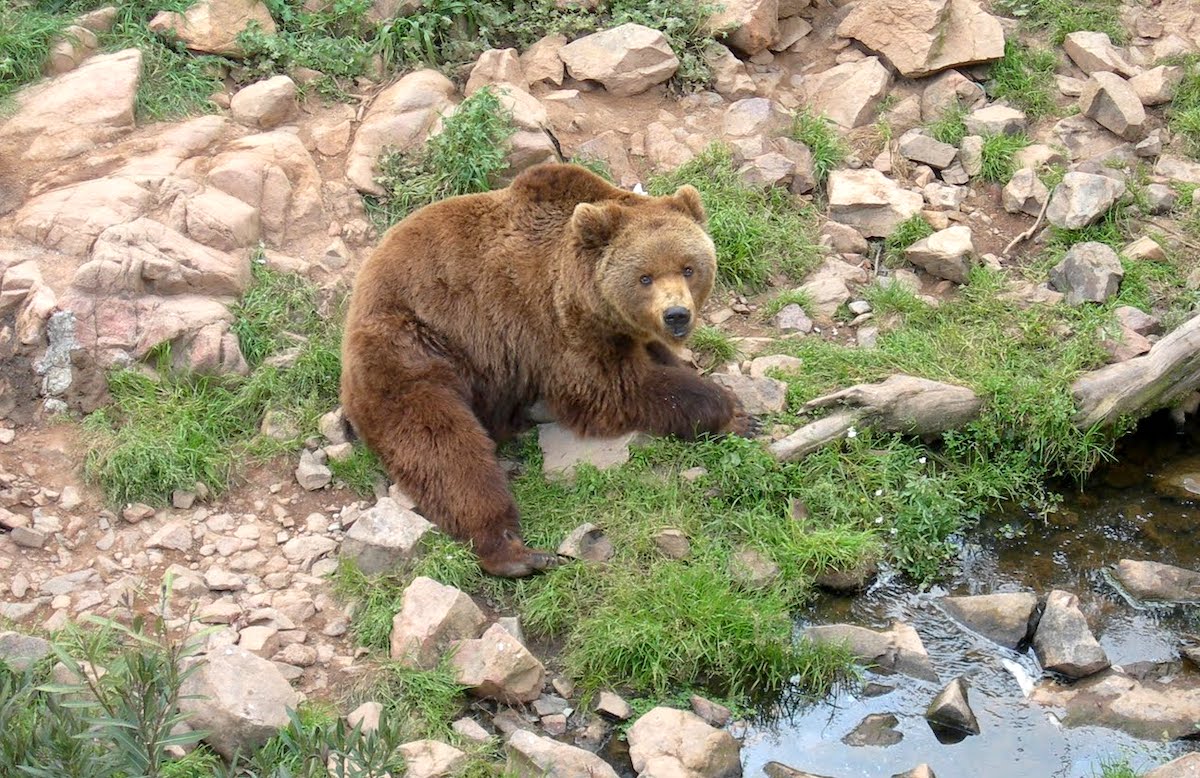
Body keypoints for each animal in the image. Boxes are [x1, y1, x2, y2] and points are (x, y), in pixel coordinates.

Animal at [338, 164, 753, 576]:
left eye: (689, 268)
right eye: (645, 277)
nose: (676, 315)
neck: (588, 295)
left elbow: (650, 360)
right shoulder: (552, 323)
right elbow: (611, 388)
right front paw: (735, 414)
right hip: (414, 348)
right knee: (443, 447)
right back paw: (515, 552)